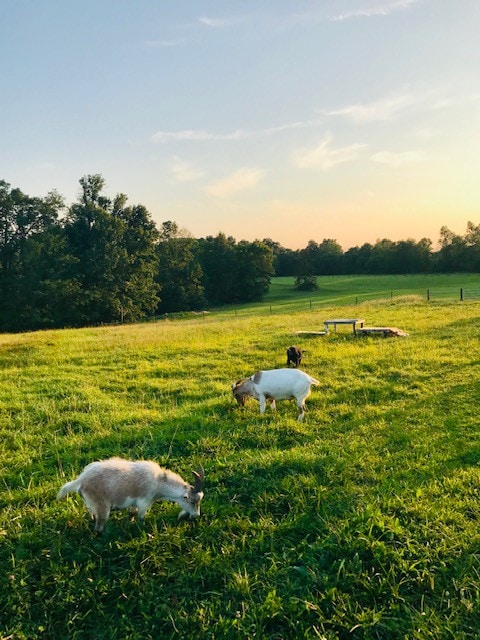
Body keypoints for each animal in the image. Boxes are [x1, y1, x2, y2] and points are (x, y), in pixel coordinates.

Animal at [57, 456, 204, 536]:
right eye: (192, 501)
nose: (196, 516)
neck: (159, 482)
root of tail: (81, 480)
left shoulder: (133, 504)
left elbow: (131, 514)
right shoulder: (144, 502)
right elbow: (141, 518)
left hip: (90, 504)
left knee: (92, 516)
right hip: (102, 506)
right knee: (99, 527)